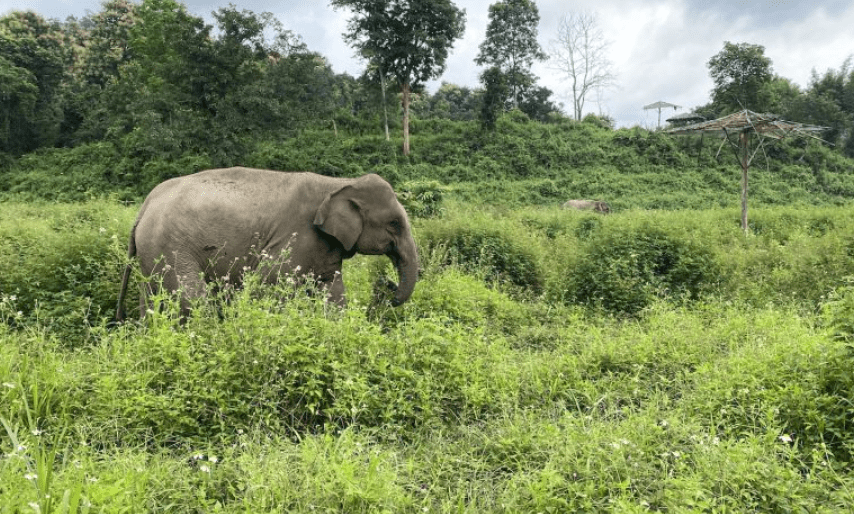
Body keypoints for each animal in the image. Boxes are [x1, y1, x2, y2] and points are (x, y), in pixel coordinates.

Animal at [116, 167, 419, 320]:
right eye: (394, 223)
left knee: (151, 300)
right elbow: (269, 286)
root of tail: (144, 207)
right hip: (172, 247)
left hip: (152, 252)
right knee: (193, 300)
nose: (386, 285)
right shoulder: (295, 236)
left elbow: (333, 294)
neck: (338, 183)